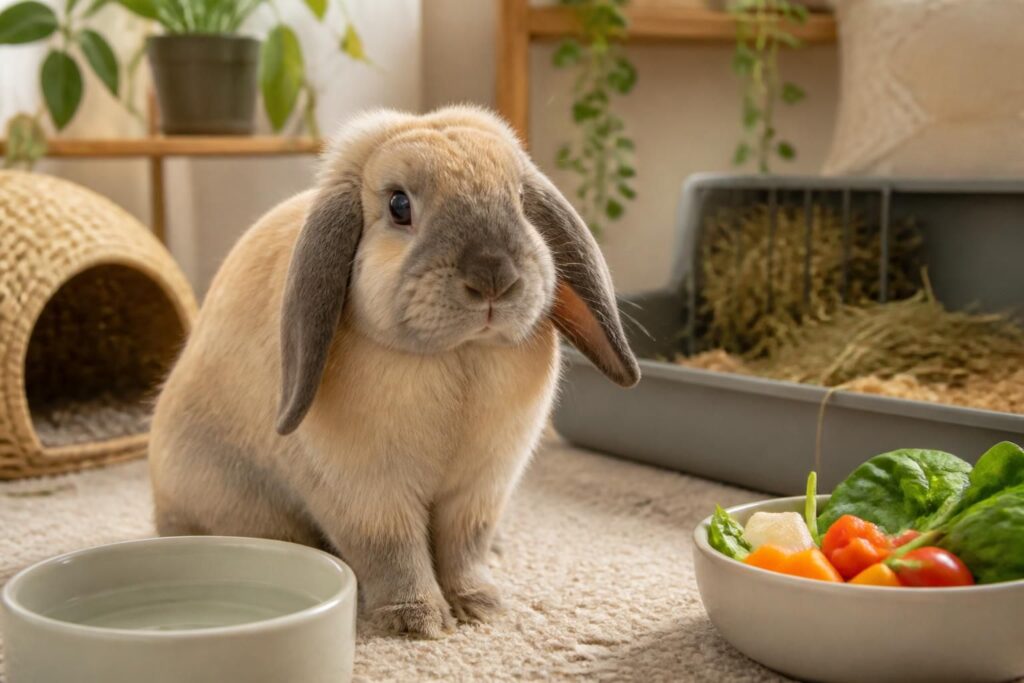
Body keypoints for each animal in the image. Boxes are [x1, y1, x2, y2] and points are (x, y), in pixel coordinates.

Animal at [148, 105, 640, 638]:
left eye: (519, 201)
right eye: (399, 205)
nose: (494, 278)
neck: (458, 357)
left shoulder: (479, 491)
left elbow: (463, 550)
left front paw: (480, 606)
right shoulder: (368, 497)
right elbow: (393, 554)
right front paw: (417, 621)